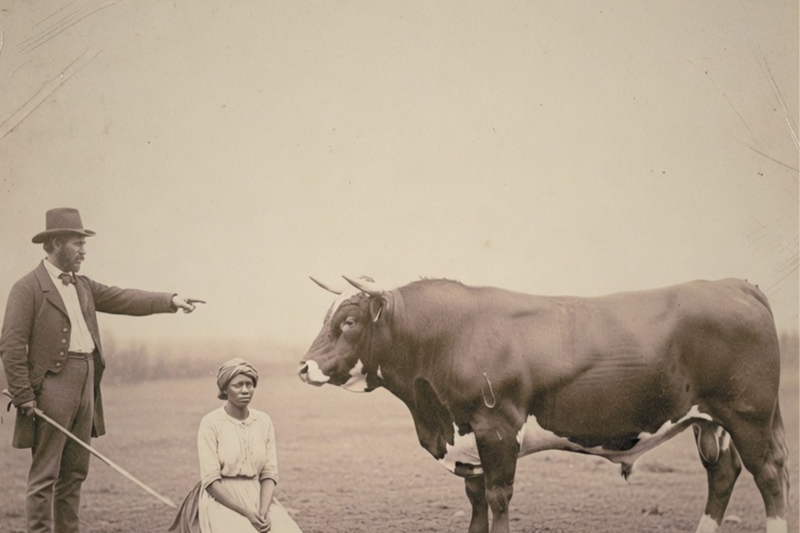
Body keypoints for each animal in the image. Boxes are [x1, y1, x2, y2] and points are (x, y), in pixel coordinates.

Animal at [298, 276, 789, 533]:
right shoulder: (469, 442)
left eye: (349, 321)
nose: (303, 366)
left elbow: (497, 499)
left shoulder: (497, 429)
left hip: (748, 416)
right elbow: (476, 501)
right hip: (710, 420)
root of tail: (732, 284)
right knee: (722, 474)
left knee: (768, 476)